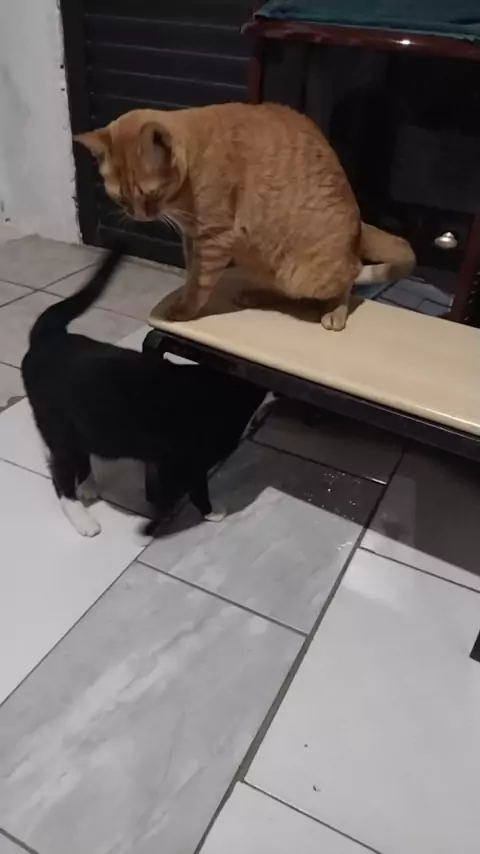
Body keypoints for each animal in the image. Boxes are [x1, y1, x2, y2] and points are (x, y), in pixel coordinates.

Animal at [21, 247, 267, 538]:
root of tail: (49, 337)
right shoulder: (188, 462)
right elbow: (190, 490)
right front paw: (202, 513)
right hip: (60, 430)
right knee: (61, 477)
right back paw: (83, 520)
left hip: (83, 428)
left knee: (79, 458)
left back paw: (88, 486)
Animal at [75, 102, 415, 331]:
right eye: (121, 198)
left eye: (151, 194)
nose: (141, 216)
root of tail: (360, 225)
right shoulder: (192, 238)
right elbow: (190, 274)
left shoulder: (214, 238)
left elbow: (199, 283)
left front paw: (184, 309)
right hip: (265, 261)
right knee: (287, 292)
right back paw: (255, 295)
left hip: (305, 273)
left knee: (349, 277)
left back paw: (336, 311)